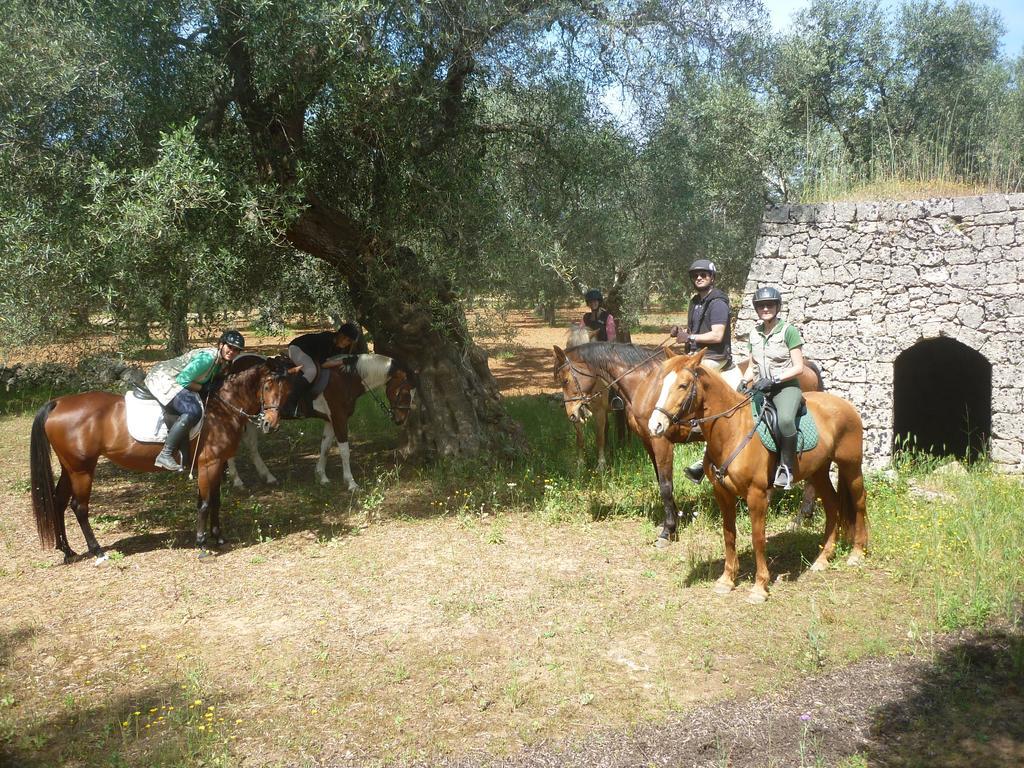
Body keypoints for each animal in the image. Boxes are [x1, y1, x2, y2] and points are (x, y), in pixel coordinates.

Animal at [28, 358, 299, 561]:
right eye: (267, 387)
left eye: (287, 390)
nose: (270, 424)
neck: (222, 409)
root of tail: (58, 402)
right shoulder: (209, 464)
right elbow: (204, 503)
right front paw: (202, 545)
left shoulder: (216, 464)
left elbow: (215, 501)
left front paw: (218, 537)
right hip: (82, 470)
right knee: (79, 507)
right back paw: (97, 551)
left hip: (70, 468)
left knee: (58, 502)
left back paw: (67, 551)